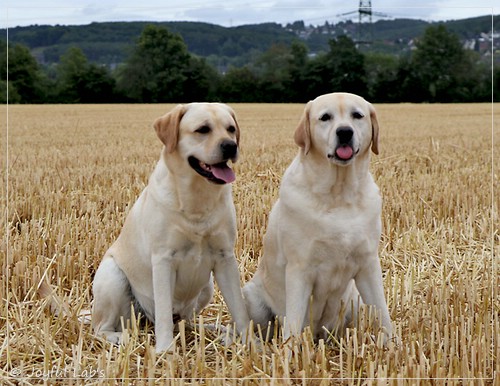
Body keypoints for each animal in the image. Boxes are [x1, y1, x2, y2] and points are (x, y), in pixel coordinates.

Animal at [92, 102, 250, 352]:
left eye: (231, 129)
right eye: (203, 129)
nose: (230, 146)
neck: (197, 200)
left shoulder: (225, 258)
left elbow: (240, 308)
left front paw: (251, 343)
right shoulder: (164, 259)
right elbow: (164, 312)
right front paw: (165, 350)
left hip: (207, 286)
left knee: (188, 321)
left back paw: (216, 330)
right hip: (112, 276)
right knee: (100, 327)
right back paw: (119, 337)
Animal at [244, 92, 396, 342]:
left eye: (357, 115)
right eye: (325, 117)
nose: (344, 132)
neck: (339, 195)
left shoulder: (368, 264)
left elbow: (382, 311)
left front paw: (393, 343)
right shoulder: (299, 269)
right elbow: (294, 322)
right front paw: (290, 351)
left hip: (354, 300)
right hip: (252, 299)